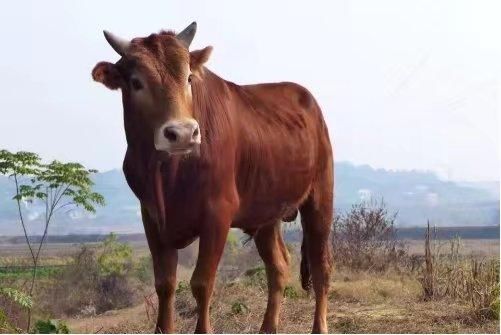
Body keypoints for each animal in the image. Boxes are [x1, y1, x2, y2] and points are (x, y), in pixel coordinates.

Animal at [92, 22, 334, 334]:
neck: (168, 172)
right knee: (278, 267)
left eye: (188, 78)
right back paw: (268, 327)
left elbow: (202, 283)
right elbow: (165, 284)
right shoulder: (152, 217)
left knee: (321, 267)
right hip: (266, 214)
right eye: (136, 82)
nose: (183, 133)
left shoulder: (218, 214)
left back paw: (319, 326)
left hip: (320, 199)